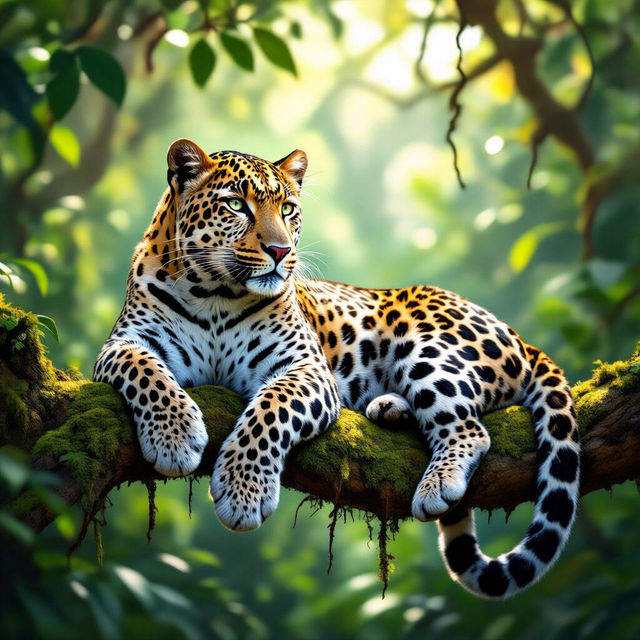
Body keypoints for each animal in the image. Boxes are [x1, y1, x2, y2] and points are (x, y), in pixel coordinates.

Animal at [94, 138, 580, 598]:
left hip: (429, 348)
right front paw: (174, 436)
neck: (215, 293)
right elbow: (146, 372)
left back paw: (436, 484)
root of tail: (514, 332)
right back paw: (390, 409)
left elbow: (269, 410)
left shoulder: (306, 367)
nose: (280, 250)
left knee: (470, 428)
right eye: (236, 205)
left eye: (288, 209)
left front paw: (242, 490)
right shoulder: (124, 343)